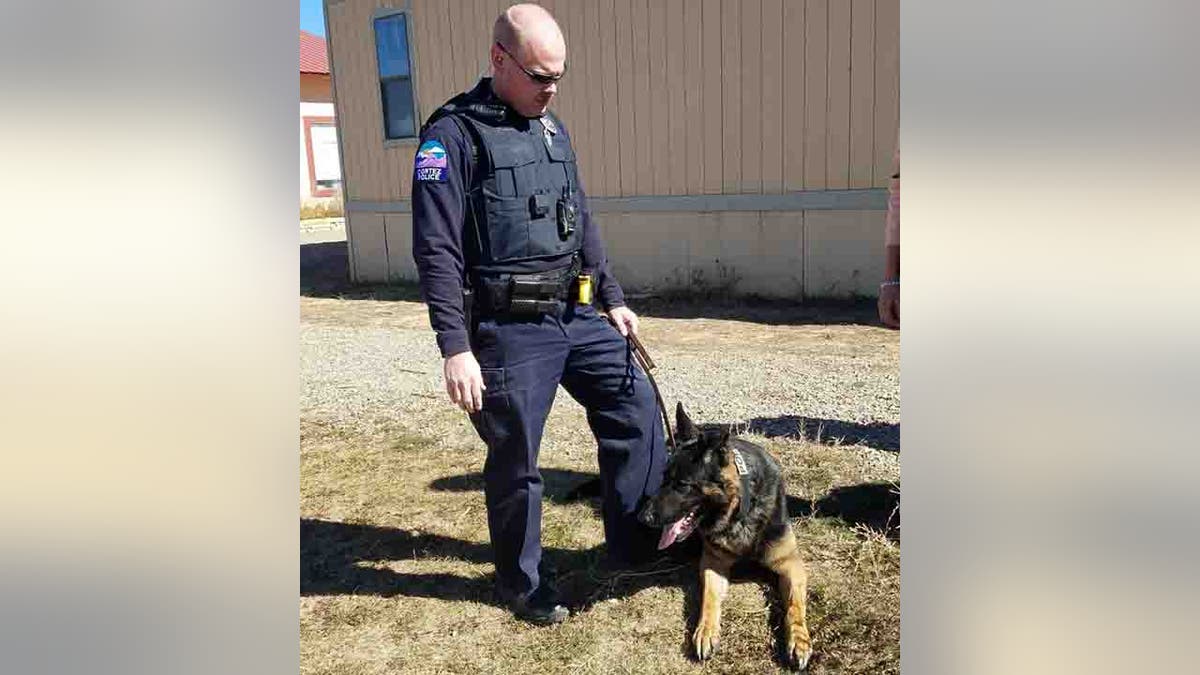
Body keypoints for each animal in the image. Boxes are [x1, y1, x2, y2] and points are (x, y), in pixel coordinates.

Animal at [638, 403, 816, 667]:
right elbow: (709, 598)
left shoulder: (791, 564)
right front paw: (705, 631)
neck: (740, 511)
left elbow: (795, 604)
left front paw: (799, 640)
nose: (644, 517)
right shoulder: (714, 563)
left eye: (682, 484)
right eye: (664, 479)